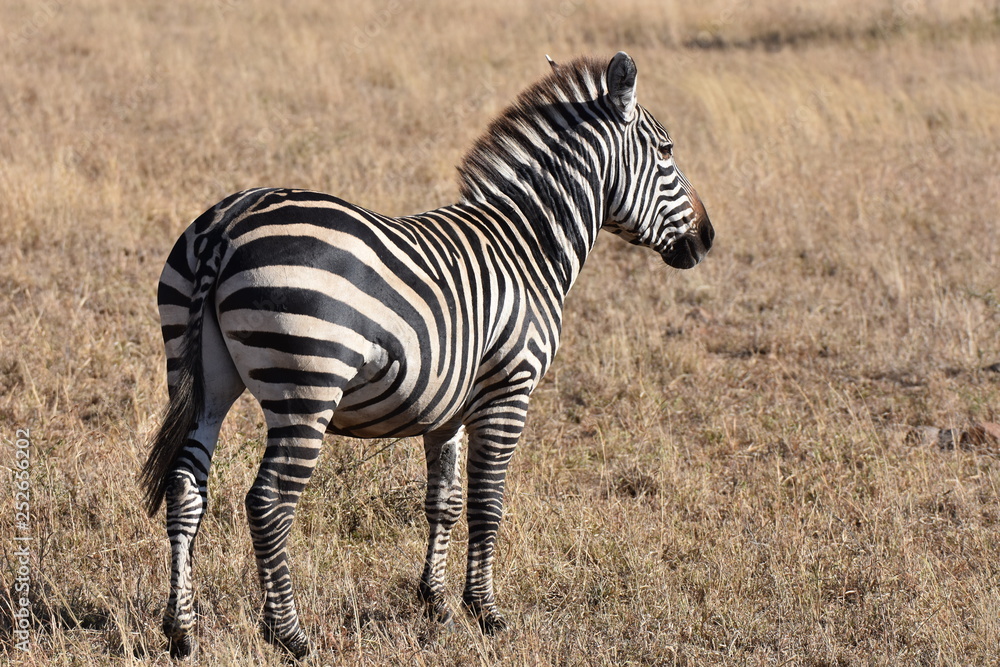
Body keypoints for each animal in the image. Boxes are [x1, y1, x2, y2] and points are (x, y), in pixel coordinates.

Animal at [141, 51, 713, 659]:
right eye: (666, 151)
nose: (707, 238)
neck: (530, 244)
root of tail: (230, 223)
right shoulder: (509, 389)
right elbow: (487, 502)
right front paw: (486, 612)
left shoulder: (450, 406)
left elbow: (444, 501)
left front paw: (436, 604)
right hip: (306, 386)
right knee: (269, 500)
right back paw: (289, 635)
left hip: (202, 377)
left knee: (185, 486)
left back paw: (182, 631)